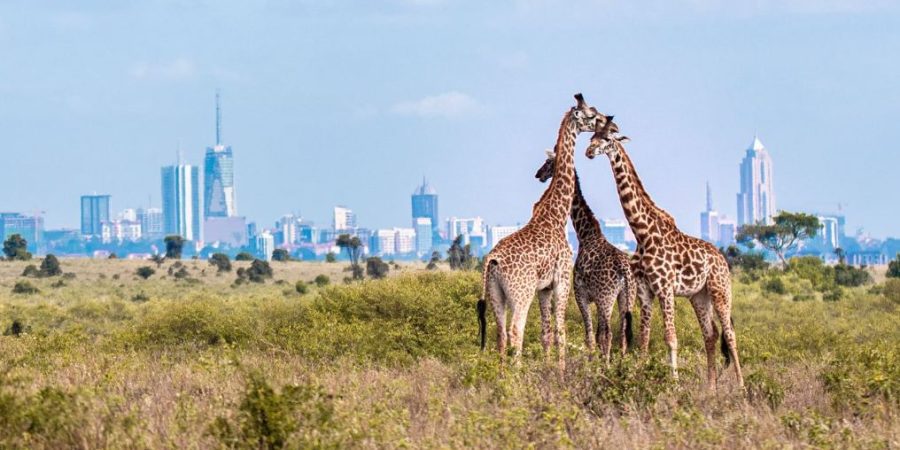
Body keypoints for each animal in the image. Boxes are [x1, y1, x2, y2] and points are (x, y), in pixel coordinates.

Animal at [478, 93, 604, 370]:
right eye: (591, 115)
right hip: (521, 292)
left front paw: (548, 370)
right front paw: (560, 373)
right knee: (516, 331)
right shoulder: (562, 279)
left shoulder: (543, 288)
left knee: (501, 334)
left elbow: (546, 333)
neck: (556, 214)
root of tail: (492, 260)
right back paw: (516, 376)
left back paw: (501, 377)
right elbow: (560, 331)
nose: (606, 121)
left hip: (496, 294)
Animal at [536, 149, 632, 364]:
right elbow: (595, 334)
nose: (538, 175)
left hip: (606, 298)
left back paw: (607, 366)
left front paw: (592, 364)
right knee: (622, 333)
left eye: (548, 162)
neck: (585, 235)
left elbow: (590, 335)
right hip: (626, 297)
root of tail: (624, 270)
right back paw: (624, 364)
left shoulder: (582, 294)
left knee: (609, 333)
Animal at [584, 118, 744, 386]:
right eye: (591, 137)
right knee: (710, 334)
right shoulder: (644, 290)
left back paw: (741, 387)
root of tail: (722, 259)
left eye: (607, 139)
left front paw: (675, 384)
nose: (589, 152)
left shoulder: (665, 288)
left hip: (720, 290)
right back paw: (711, 387)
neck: (642, 233)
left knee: (730, 334)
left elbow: (671, 338)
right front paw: (638, 377)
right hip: (698, 295)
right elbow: (644, 338)